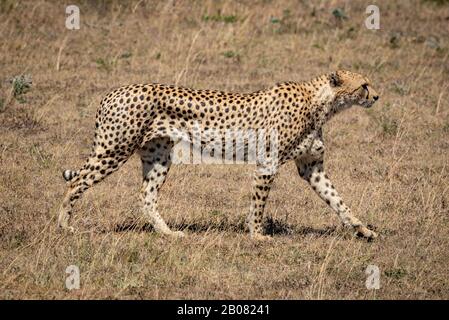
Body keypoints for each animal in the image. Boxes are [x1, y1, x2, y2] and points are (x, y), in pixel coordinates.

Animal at [58, 70, 378, 240]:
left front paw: (362, 229)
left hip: (158, 157)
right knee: (75, 183)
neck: (321, 103)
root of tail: (112, 92)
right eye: (363, 85)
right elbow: (258, 204)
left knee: (146, 196)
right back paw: (64, 226)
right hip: (114, 149)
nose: (376, 96)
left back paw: (168, 234)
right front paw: (257, 235)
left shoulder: (312, 168)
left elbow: (338, 200)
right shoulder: (267, 164)